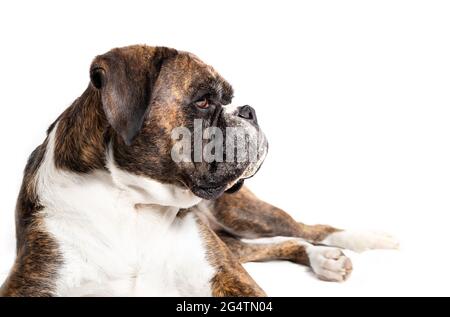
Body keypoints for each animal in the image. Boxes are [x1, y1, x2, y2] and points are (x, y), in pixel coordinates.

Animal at [1, 45, 400, 296]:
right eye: (205, 101)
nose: (248, 111)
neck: (135, 205)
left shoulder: (231, 277)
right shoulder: (32, 281)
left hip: (242, 214)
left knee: (305, 229)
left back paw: (362, 242)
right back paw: (325, 260)